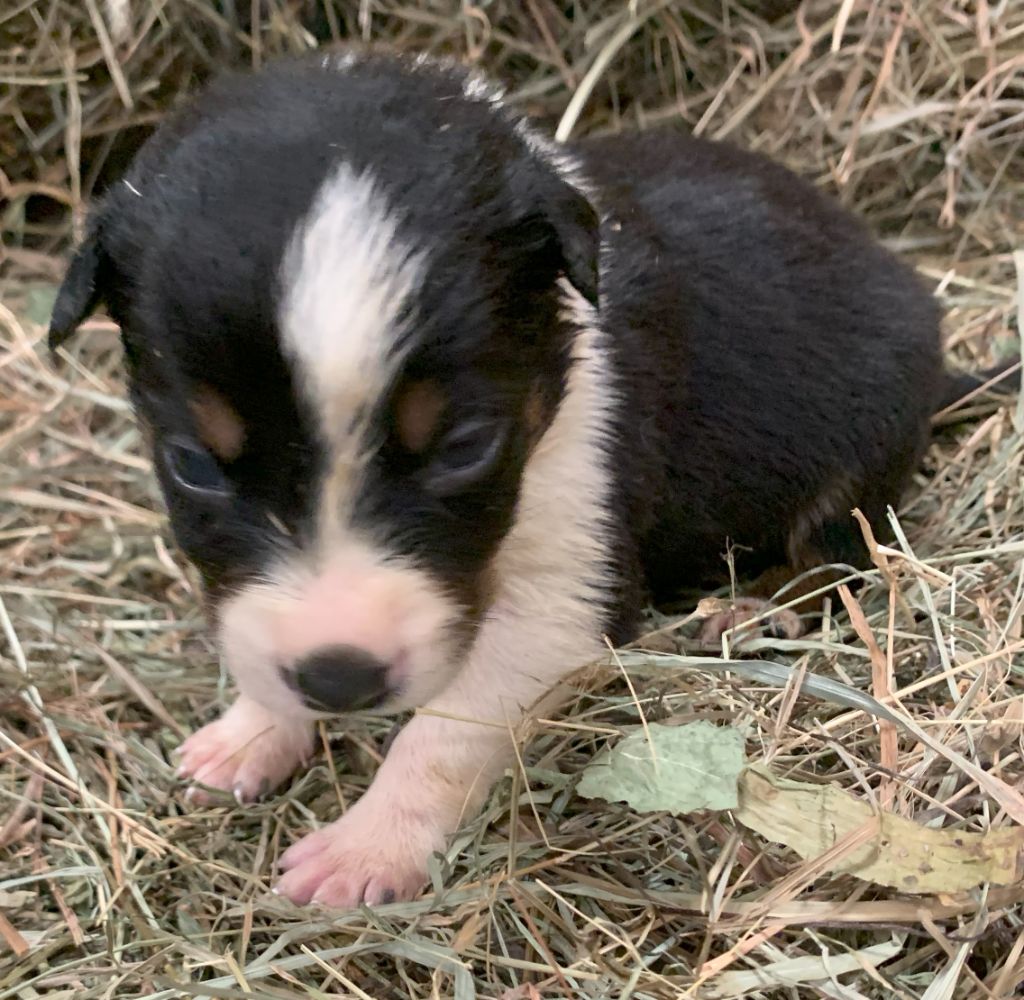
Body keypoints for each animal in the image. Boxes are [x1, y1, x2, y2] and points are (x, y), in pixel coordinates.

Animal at [49, 48, 974, 904]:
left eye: (465, 448)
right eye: (191, 464)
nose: (340, 679)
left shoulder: (567, 589)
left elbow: (444, 731)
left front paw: (366, 849)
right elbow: (258, 641)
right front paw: (251, 731)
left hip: (858, 445)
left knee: (839, 558)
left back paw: (755, 611)